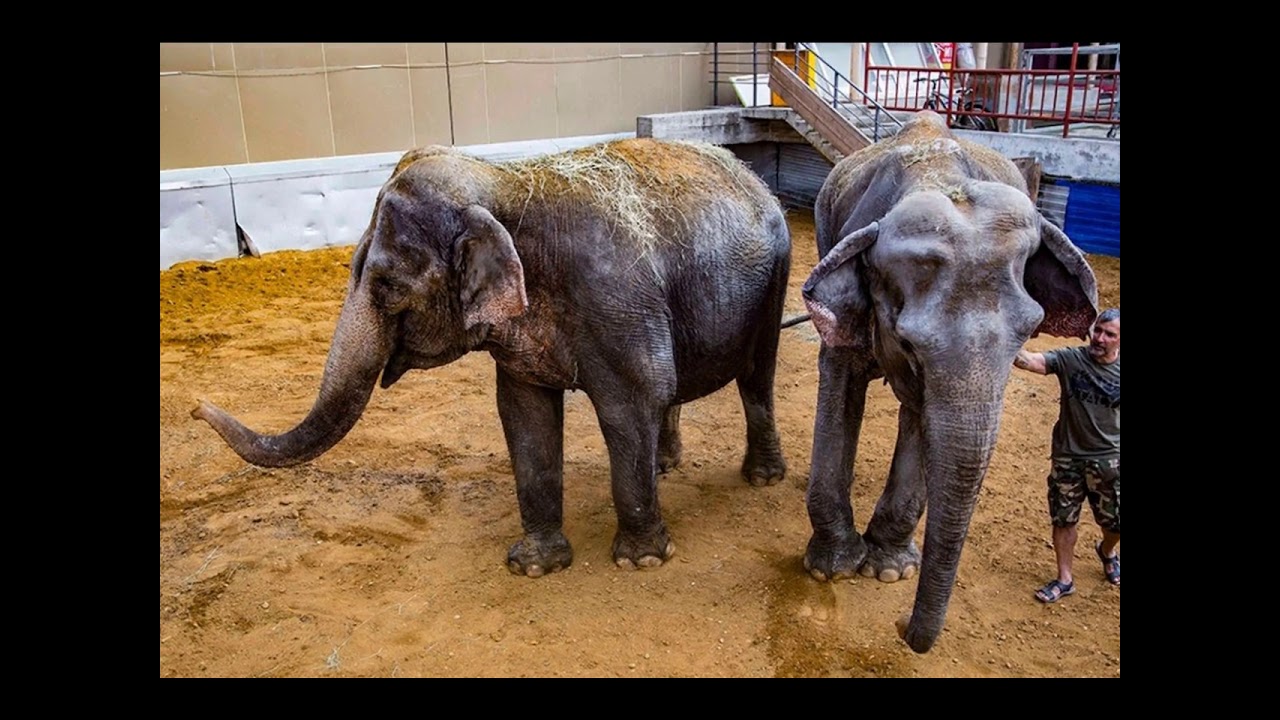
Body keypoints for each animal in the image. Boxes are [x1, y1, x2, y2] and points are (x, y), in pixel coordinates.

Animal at [193, 138, 792, 577]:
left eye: (387, 286)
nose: (195, 407)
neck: (506, 182)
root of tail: (751, 175)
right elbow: (524, 415)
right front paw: (534, 568)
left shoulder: (618, 301)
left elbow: (632, 403)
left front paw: (642, 561)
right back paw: (666, 465)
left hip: (776, 279)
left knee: (756, 376)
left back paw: (763, 478)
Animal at [799, 111, 1098, 653]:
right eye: (909, 343)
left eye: (1028, 333)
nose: (900, 626)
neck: (936, 176)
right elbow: (839, 377)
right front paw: (831, 570)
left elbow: (922, 417)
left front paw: (890, 572)